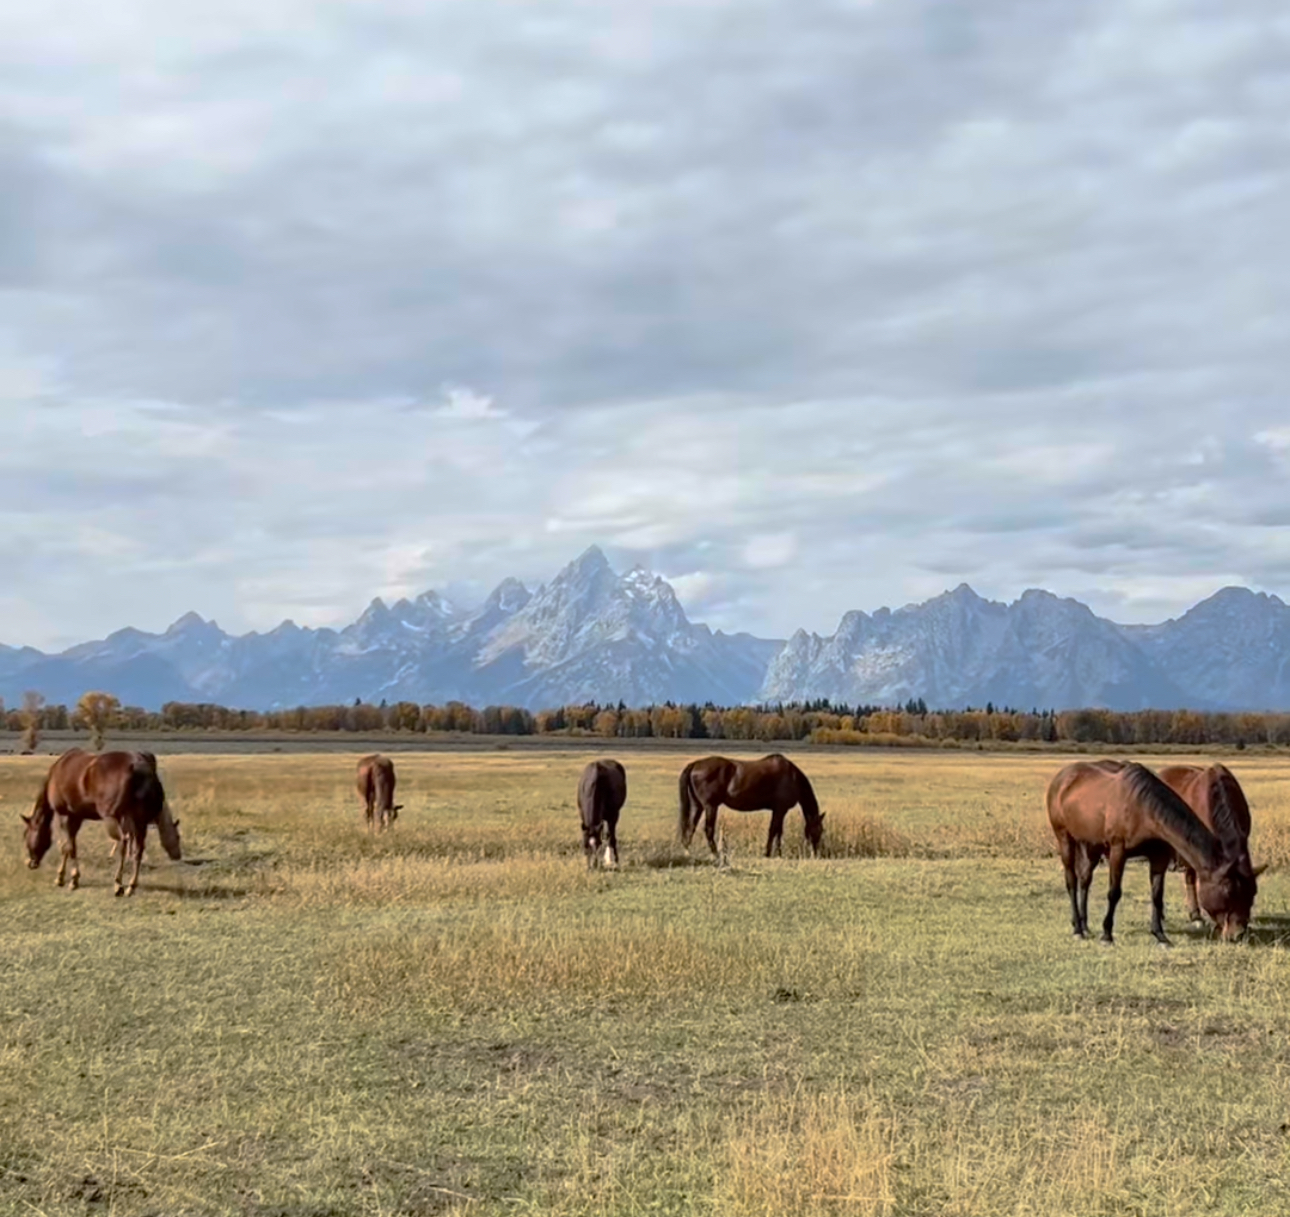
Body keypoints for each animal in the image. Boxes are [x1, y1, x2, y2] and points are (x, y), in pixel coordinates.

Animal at [21, 749, 182, 896]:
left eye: (26, 835)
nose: (31, 863)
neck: (57, 772)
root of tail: (140, 768)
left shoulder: (64, 814)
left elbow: (67, 847)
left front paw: (69, 879)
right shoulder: (76, 816)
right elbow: (70, 845)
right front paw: (65, 877)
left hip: (116, 818)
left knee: (123, 844)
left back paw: (118, 884)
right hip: (139, 821)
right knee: (138, 849)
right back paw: (131, 886)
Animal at [678, 753, 824, 859]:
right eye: (820, 830)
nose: (816, 853)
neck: (792, 777)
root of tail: (695, 764)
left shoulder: (779, 810)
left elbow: (778, 831)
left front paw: (777, 853)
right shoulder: (780, 810)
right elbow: (774, 830)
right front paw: (769, 853)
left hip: (698, 806)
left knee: (691, 828)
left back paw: (687, 852)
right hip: (710, 807)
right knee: (708, 830)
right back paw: (716, 854)